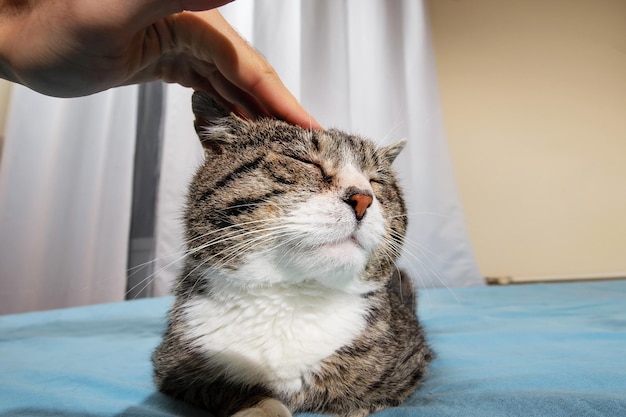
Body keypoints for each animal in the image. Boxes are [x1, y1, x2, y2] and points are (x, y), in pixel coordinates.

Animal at [154, 92, 432, 416]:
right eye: (305, 161)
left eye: (377, 180)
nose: (364, 198)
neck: (292, 297)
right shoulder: (175, 366)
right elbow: (237, 389)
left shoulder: (411, 363)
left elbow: (362, 397)